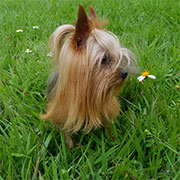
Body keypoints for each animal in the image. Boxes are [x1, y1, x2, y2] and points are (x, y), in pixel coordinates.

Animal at [40, 5, 136, 149]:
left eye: (117, 57)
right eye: (104, 59)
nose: (124, 73)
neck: (87, 89)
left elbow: (108, 124)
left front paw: (113, 140)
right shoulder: (62, 113)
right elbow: (66, 133)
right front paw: (69, 149)